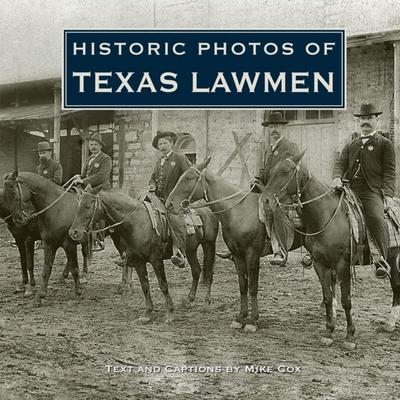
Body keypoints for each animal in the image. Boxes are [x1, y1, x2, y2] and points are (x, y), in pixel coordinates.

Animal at [2, 171, 94, 306]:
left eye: (13, 192)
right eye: (5, 196)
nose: (18, 218)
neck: (57, 209)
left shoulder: (68, 244)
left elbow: (75, 269)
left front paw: (78, 292)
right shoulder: (49, 243)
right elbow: (46, 269)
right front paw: (39, 296)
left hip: (82, 241)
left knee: (84, 254)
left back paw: (84, 276)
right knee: (70, 261)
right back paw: (63, 277)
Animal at [69, 186, 219, 324]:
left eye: (87, 206)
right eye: (78, 206)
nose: (73, 232)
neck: (136, 223)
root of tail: (208, 210)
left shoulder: (156, 259)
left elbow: (163, 285)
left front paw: (170, 313)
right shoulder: (138, 261)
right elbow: (145, 285)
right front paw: (147, 313)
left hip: (209, 245)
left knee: (210, 273)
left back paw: (207, 302)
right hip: (191, 250)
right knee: (196, 271)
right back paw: (189, 300)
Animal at [166, 158, 300, 332]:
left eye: (189, 178)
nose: (169, 204)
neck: (238, 211)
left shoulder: (252, 255)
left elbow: (253, 286)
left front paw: (252, 321)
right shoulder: (237, 255)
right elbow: (243, 285)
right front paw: (240, 317)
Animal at [260, 152, 400, 348]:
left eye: (286, 171)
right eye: (271, 171)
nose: (265, 201)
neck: (327, 217)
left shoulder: (343, 264)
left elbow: (346, 301)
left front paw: (350, 336)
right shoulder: (320, 263)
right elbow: (327, 296)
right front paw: (329, 331)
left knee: (396, 285)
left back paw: (391, 322)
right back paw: (389, 323)